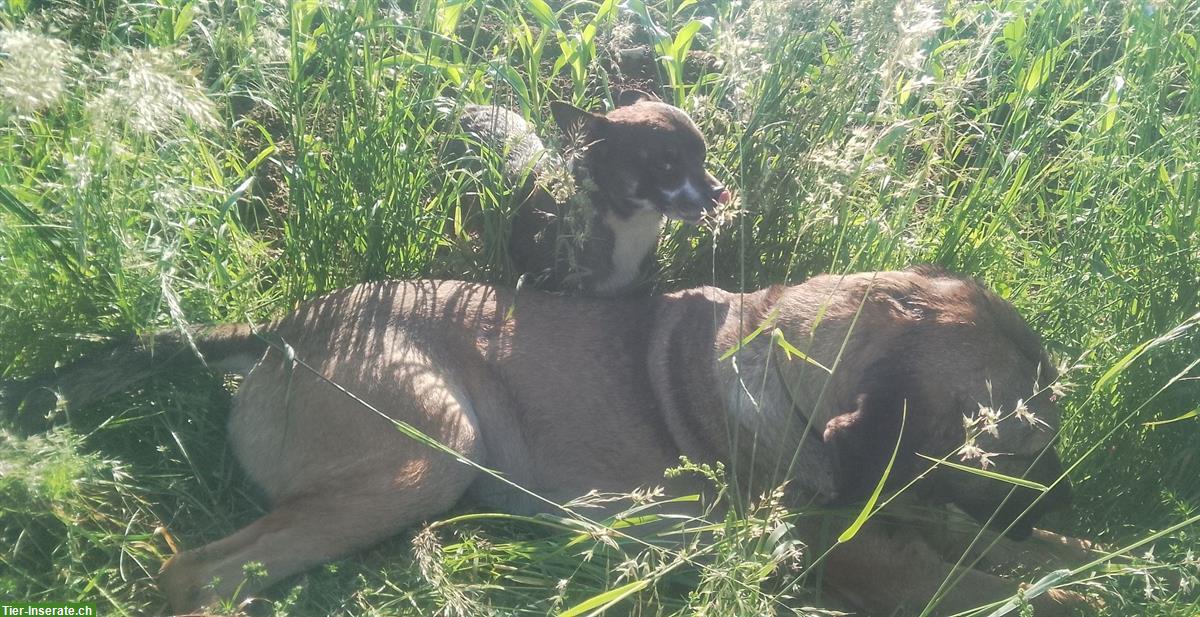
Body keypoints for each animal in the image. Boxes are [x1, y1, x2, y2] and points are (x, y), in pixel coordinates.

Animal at [21, 265, 1099, 614]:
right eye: (1022, 442)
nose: (1070, 491)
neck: (791, 369)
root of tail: (280, 329)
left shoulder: (922, 516)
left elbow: (1011, 552)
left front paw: (1096, 549)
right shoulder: (868, 555)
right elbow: (987, 581)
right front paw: (1091, 580)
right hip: (425, 450)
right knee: (199, 572)